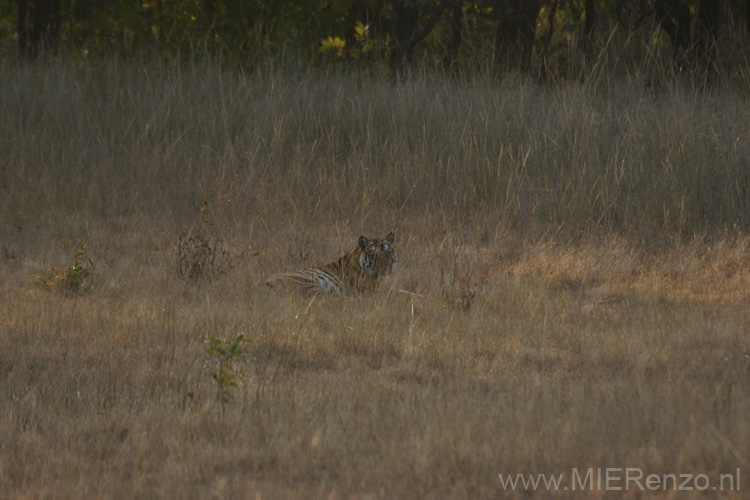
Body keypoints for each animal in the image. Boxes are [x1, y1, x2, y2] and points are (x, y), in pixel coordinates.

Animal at [264, 233, 396, 294]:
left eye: (388, 253)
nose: (386, 268)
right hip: (308, 283)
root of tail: (266, 283)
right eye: (375, 255)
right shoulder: (371, 289)